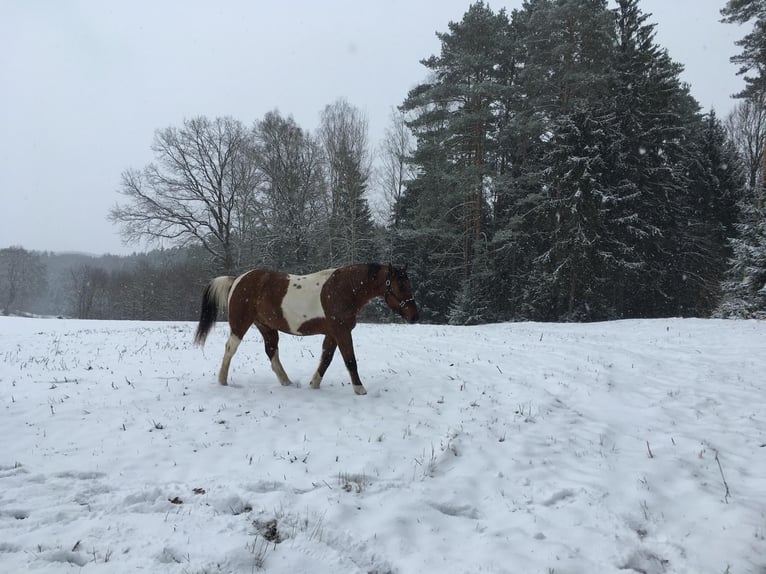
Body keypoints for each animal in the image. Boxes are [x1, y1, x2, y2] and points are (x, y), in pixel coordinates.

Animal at [193, 263, 419, 395]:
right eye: (401, 286)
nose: (415, 316)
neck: (344, 289)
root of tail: (236, 280)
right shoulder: (342, 332)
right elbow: (350, 360)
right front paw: (360, 389)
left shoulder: (332, 334)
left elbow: (326, 359)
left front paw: (314, 384)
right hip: (240, 324)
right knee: (230, 348)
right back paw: (222, 381)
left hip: (266, 327)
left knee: (272, 353)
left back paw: (287, 382)